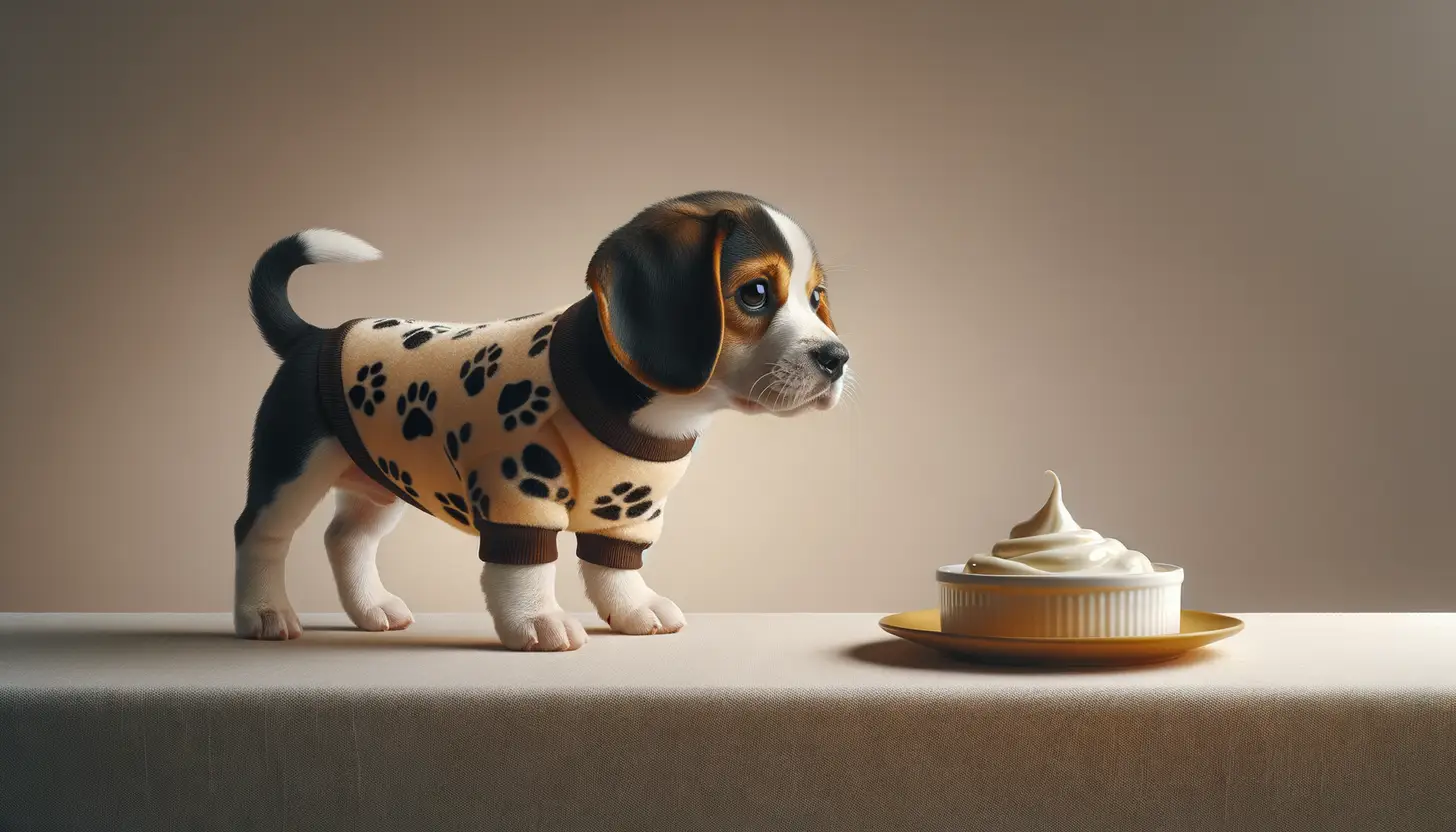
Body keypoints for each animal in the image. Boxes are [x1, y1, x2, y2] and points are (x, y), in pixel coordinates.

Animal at [235, 192, 850, 655]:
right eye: (755, 293)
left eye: (817, 296)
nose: (837, 358)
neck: (660, 412)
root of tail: (313, 335)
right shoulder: (518, 494)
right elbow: (525, 568)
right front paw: (536, 622)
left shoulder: (631, 511)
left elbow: (615, 568)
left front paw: (633, 609)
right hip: (292, 468)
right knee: (259, 533)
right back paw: (263, 613)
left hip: (381, 480)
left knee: (346, 539)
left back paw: (371, 609)